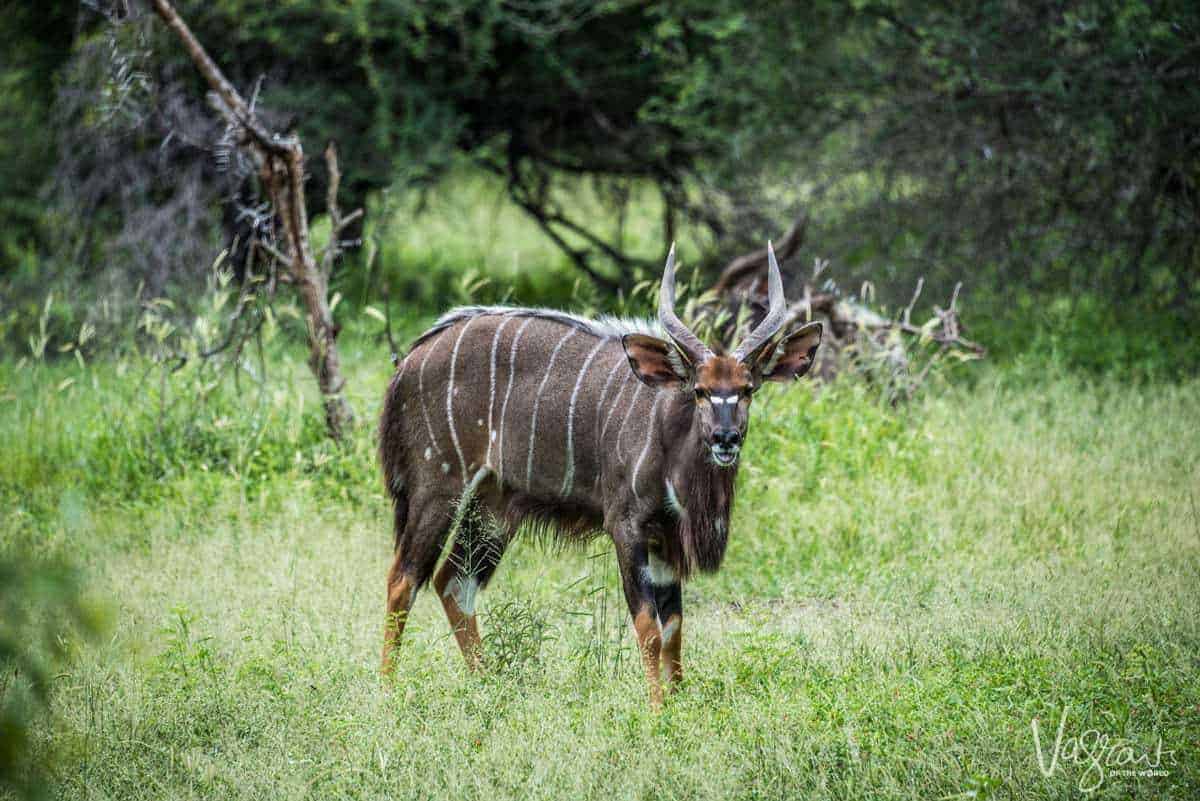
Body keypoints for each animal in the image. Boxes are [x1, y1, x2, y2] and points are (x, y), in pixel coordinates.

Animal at [379, 242, 820, 700]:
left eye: (747, 390)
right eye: (700, 391)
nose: (725, 437)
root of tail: (407, 363)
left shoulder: (664, 537)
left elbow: (674, 626)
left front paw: (679, 699)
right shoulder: (626, 524)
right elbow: (648, 625)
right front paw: (657, 706)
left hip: (493, 507)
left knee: (452, 581)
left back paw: (486, 682)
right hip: (439, 486)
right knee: (403, 579)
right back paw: (387, 689)